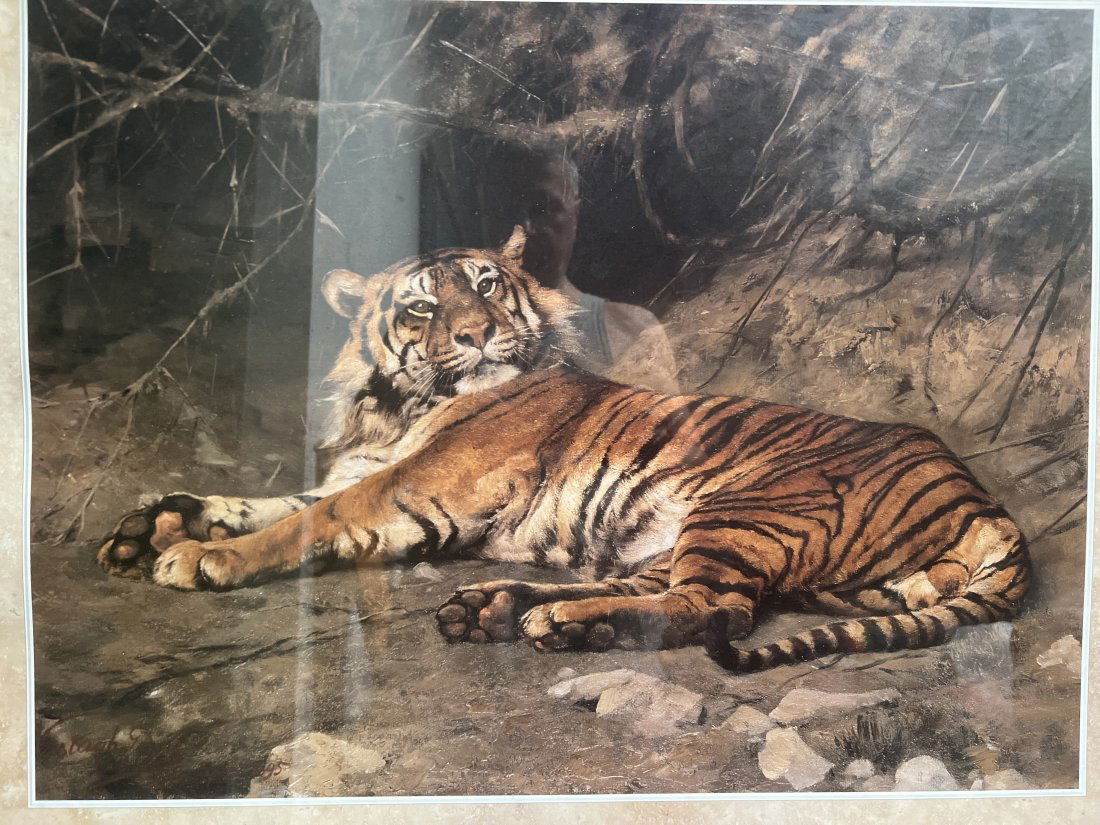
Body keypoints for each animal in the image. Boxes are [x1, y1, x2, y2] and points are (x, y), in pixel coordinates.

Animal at [100, 227, 1031, 673]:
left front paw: (198, 558)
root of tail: (980, 497)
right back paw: (501, 608)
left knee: (711, 609)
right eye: (420, 306)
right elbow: (264, 499)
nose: (476, 335)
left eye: (485, 287)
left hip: (750, 506)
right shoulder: (365, 467)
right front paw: (151, 525)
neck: (392, 409)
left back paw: (542, 617)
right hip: (703, 536)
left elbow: (311, 518)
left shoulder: (414, 482)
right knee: (664, 592)